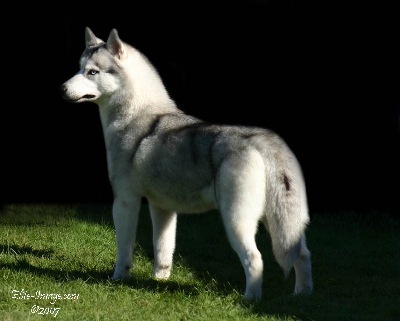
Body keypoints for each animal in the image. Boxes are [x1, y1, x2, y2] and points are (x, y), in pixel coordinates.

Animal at [61, 27, 314, 300]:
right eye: (79, 68)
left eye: (92, 72)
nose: (61, 89)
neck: (135, 115)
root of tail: (262, 140)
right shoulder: (162, 207)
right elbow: (162, 248)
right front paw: (159, 280)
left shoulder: (125, 201)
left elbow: (124, 248)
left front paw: (118, 278)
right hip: (282, 222)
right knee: (302, 254)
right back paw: (302, 296)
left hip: (236, 220)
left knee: (255, 259)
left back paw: (250, 300)